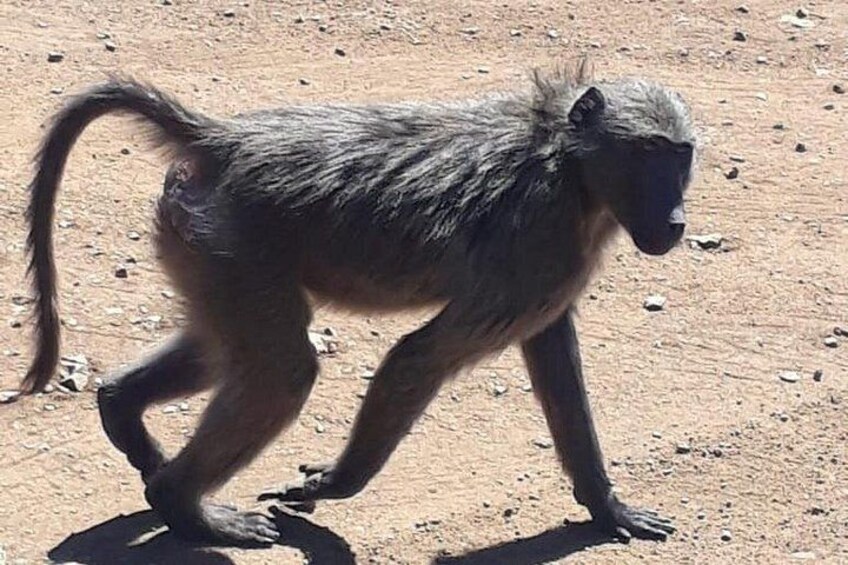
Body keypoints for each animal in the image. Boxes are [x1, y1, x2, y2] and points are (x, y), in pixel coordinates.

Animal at [20, 61, 696, 547]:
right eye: (647, 153)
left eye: (681, 155)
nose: (675, 223)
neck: (566, 159)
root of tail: (224, 141)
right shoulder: (538, 242)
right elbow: (417, 356)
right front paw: (333, 485)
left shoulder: (550, 266)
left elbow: (554, 356)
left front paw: (608, 508)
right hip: (229, 241)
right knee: (283, 371)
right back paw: (184, 508)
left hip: (203, 248)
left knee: (226, 353)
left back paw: (124, 415)